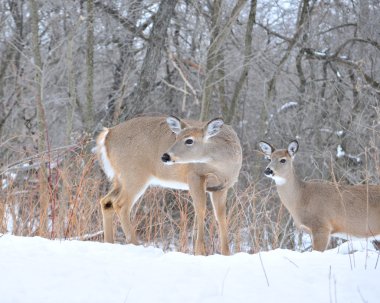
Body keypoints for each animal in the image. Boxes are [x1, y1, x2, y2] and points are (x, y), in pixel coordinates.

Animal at [96, 115, 242, 255]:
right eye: (176, 137)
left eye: (189, 140)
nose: (165, 156)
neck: (223, 166)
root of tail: (108, 134)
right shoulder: (194, 176)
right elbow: (201, 210)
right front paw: (200, 252)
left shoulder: (222, 187)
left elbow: (221, 215)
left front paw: (226, 253)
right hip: (134, 174)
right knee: (121, 204)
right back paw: (136, 244)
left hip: (120, 178)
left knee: (107, 201)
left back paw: (109, 242)